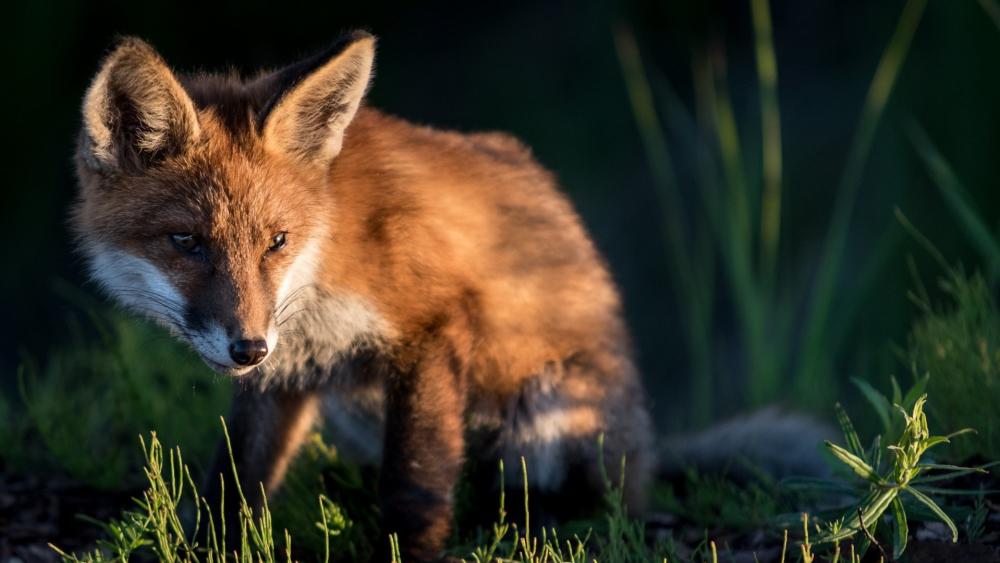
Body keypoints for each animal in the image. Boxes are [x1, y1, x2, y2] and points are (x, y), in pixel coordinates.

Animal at [72, 31, 654, 560]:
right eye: (187, 241)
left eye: (276, 241)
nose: (248, 349)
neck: (323, 263)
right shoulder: (283, 372)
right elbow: (236, 478)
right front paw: (213, 547)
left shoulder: (432, 325)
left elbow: (414, 481)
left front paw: (408, 551)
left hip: (552, 411)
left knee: (571, 500)